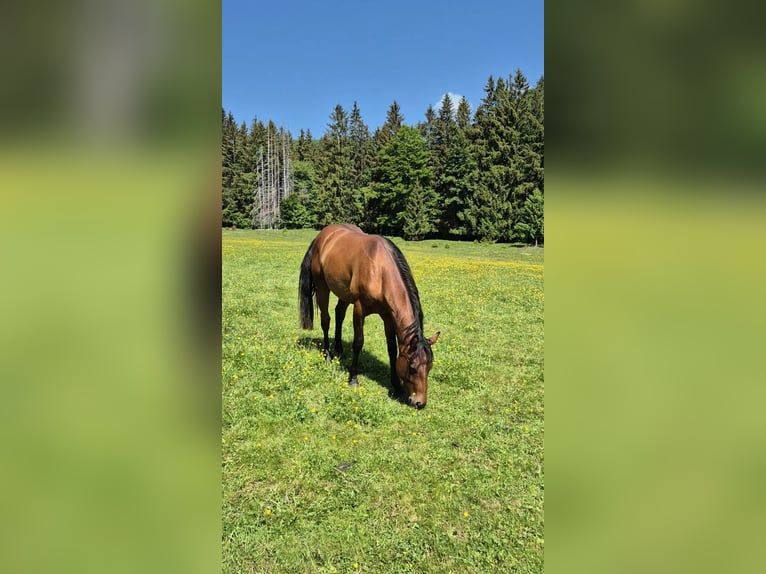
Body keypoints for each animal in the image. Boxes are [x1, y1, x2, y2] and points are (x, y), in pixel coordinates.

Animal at [299, 224, 439, 409]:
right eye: (412, 368)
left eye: (429, 367)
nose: (419, 403)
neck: (380, 270)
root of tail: (322, 236)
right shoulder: (359, 309)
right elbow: (358, 343)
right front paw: (353, 379)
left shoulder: (388, 316)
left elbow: (392, 348)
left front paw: (396, 386)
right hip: (323, 287)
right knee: (326, 320)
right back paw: (328, 355)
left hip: (344, 293)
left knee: (339, 313)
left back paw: (339, 348)